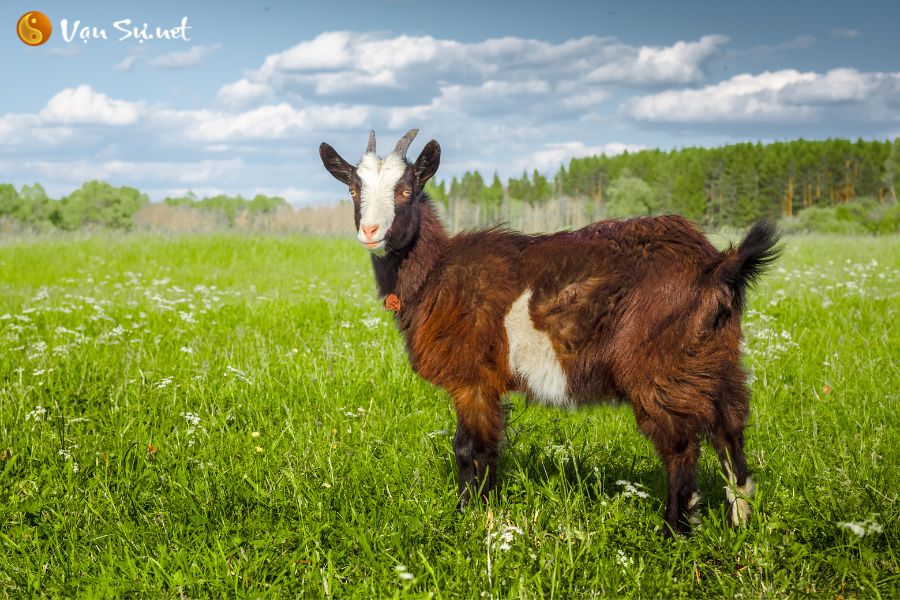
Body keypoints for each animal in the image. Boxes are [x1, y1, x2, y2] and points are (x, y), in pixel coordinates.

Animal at [318, 129, 780, 532]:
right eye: (354, 190)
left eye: (406, 190)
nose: (370, 231)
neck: (437, 273)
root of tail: (717, 265)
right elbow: (484, 449)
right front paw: (481, 511)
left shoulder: (473, 380)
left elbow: (469, 449)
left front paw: (468, 516)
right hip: (713, 355)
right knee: (729, 428)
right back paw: (740, 522)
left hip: (658, 367)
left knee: (681, 445)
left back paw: (674, 532)